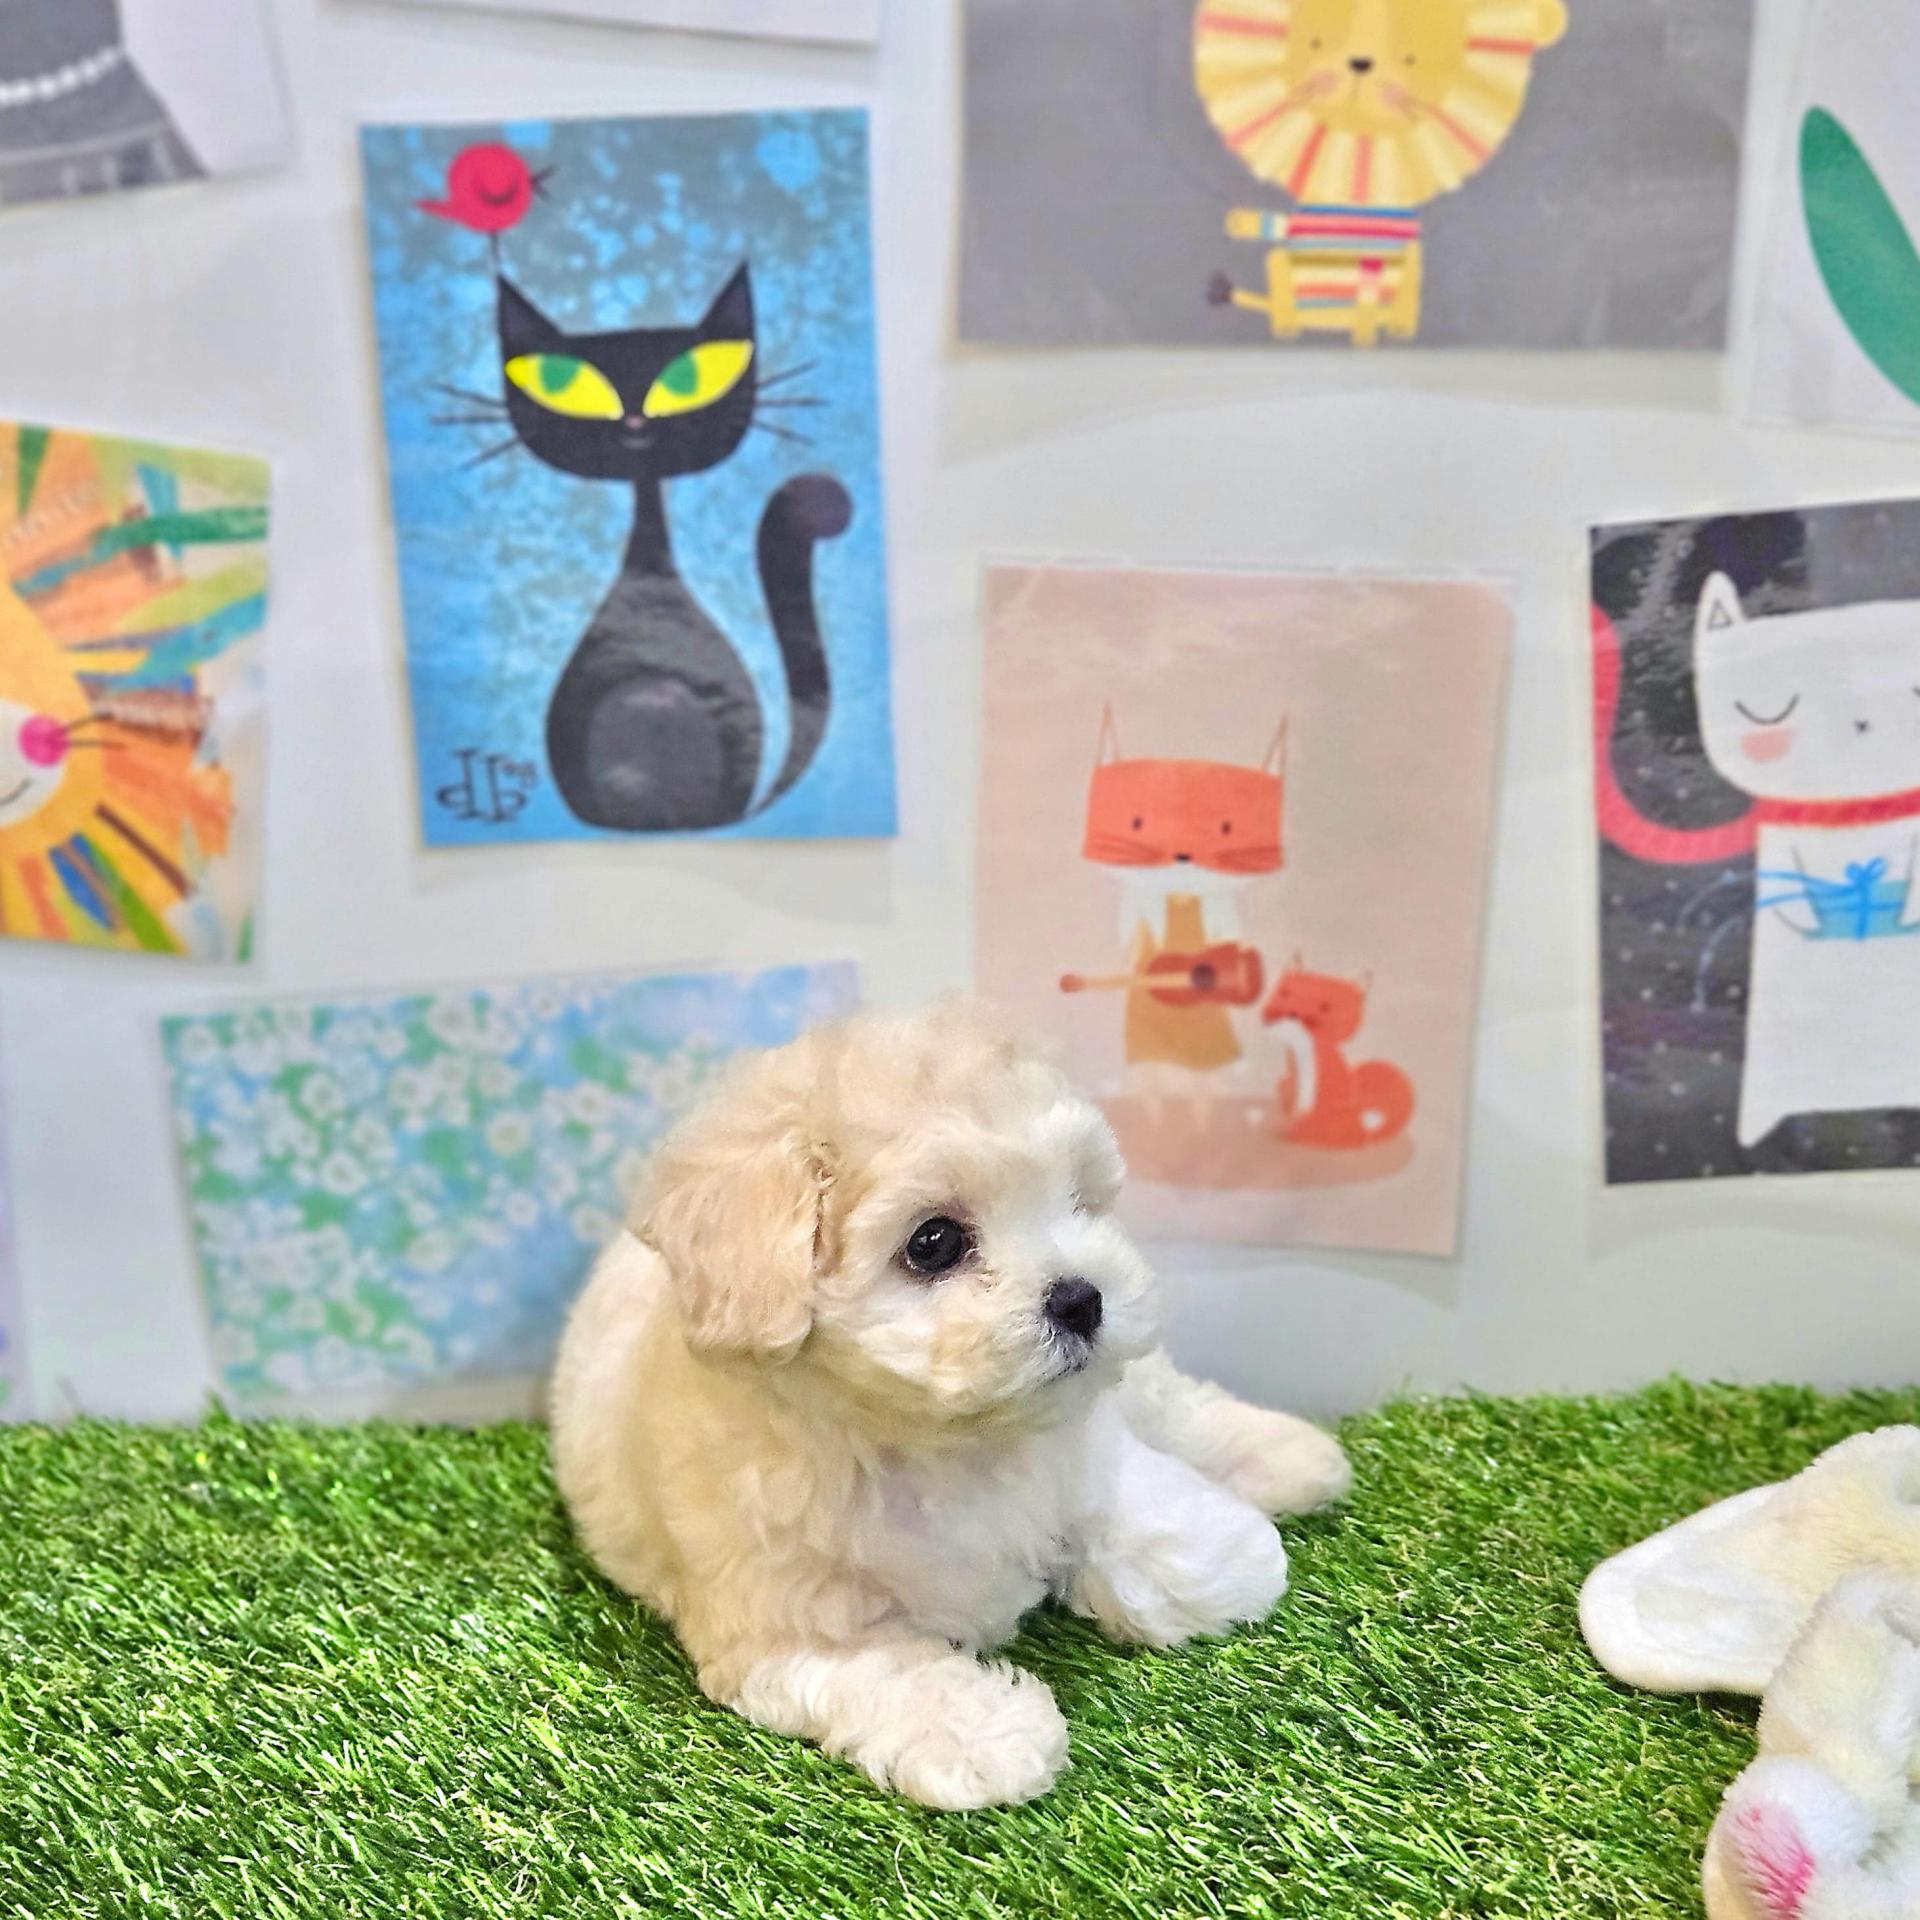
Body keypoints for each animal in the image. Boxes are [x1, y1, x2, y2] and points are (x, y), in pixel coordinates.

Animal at [550, 1000, 1351, 1808]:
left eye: (1077, 1201)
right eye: (932, 1242)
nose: (1082, 1298)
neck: (940, 1442)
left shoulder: (1082, 1448)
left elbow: (1129, 1507)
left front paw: (1234, 1559)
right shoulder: (789, 1623)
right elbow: (892, 1674)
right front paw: (988, 1737)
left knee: (1172, 1406)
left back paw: (1292, 1457)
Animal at [1194, 0, 1567, 344]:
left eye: (1410, 59)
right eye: (1315, 42)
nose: (1361, 62)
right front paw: (1240, 222)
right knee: (1278, 265)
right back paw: (1291, 323)